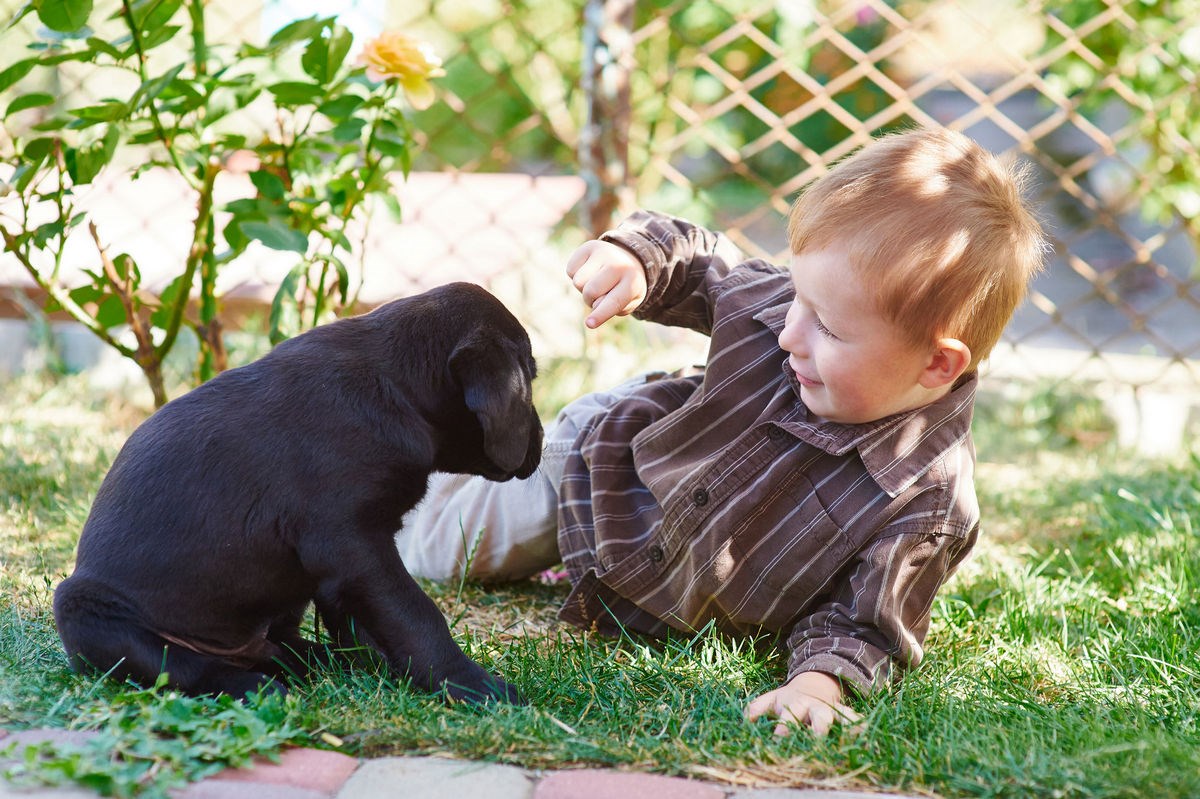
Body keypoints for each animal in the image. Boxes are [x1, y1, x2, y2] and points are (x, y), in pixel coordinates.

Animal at [54, 283, 542, 700]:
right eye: (530, 378)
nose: (540, 440)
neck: (397, 388)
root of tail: (243, 651)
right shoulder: (352, 542)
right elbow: (416, 615)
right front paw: (472, 686)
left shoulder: (345, 560)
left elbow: (361, 622)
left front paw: (382, 668)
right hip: (83, 609)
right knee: (183, 668)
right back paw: (253, 686)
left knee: (283, 647)